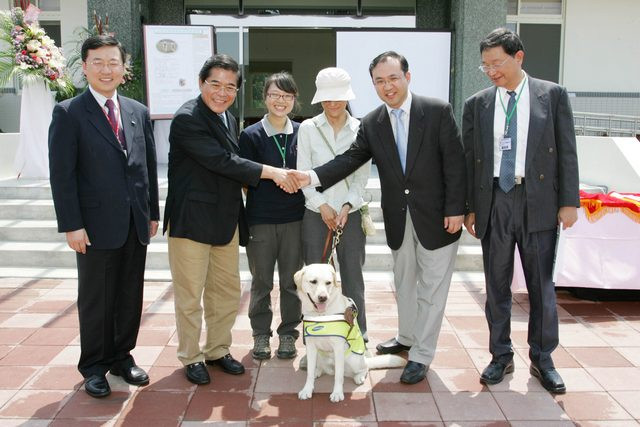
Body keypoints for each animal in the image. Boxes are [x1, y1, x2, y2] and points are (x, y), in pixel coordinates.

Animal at [296, 264, 404, 402]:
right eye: (313, 281)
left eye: (328, 283)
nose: (323, 297)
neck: (322, 314)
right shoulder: (310, 347)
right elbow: (309, 373)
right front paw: (307, 390)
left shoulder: (338, 348)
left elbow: (338, 376)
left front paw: (337, 393)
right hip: (319, 355)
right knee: (320, 368)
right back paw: (318, 371)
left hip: (354, 360)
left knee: (364, 368)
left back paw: (359, 377)